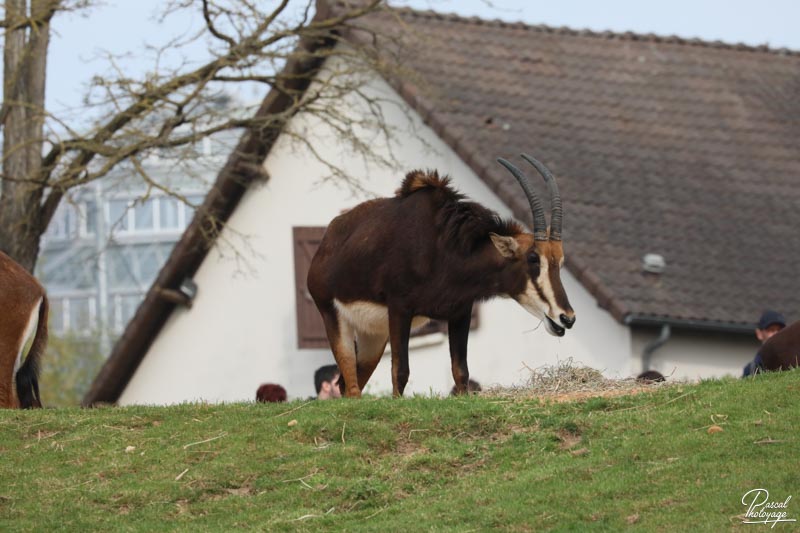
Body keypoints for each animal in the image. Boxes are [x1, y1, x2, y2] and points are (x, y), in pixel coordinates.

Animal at [306, 153, 576, 394]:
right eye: (533, 258)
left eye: (560, 261)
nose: (567, 318)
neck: (444, 247)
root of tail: (326, 243)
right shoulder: (400, 309)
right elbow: (400, 372)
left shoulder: (460, 313)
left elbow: (461, 372)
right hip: (334, 316)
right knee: (351, 385)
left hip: (374, 335)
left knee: (348, 383)